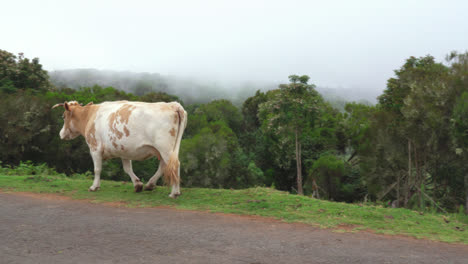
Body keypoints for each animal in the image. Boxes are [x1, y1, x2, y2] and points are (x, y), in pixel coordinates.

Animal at [52, 101, 187, 198]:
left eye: (63, 116)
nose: (60, 134)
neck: (90, 115)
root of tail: (172, 105)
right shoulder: (124, 150)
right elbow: (127, 169)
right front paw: (138, 185)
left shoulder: (95, 147)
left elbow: (97, 169)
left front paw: (94, 186)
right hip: (163, 149)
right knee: (165, 166)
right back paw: (151, 185)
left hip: (164, 147)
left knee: (174, 165)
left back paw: (174, 192)